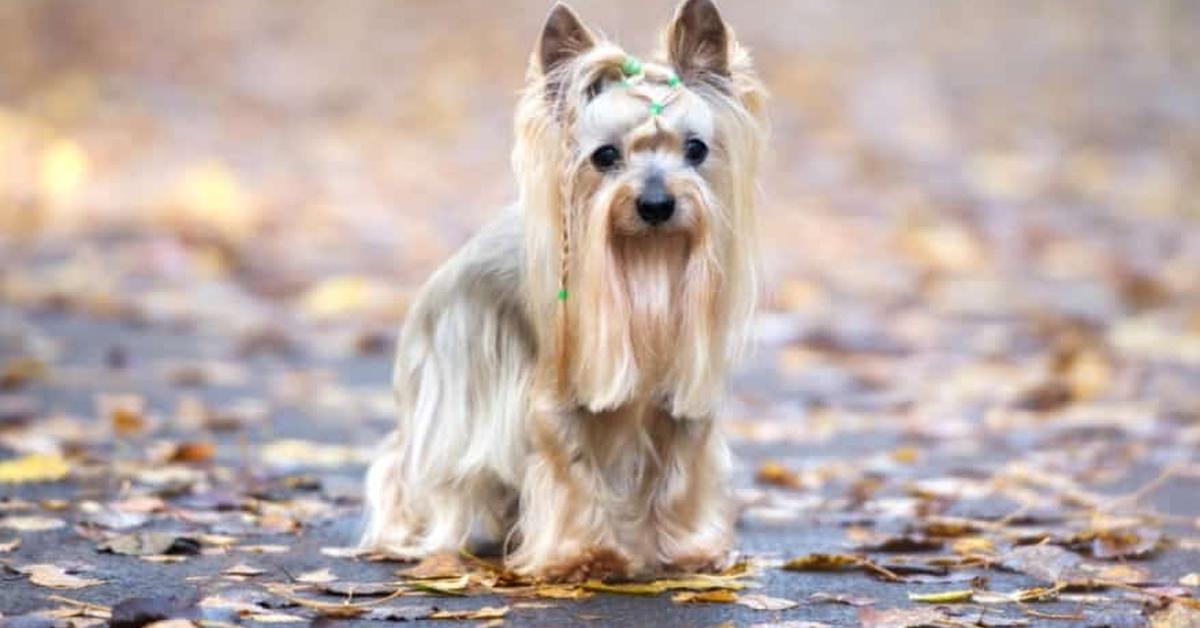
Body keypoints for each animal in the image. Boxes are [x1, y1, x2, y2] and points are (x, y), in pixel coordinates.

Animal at [360, 0, 763, 583]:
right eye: (604, 156)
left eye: (696, 149)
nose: (657, 204)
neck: (648, 261)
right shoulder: (554, 400)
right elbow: (573, 469)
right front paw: (584, 555)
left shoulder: (684, 399)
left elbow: (682, 470)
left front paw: (689, 549)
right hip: (453, 392)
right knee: (406, 461)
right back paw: (402, 536)